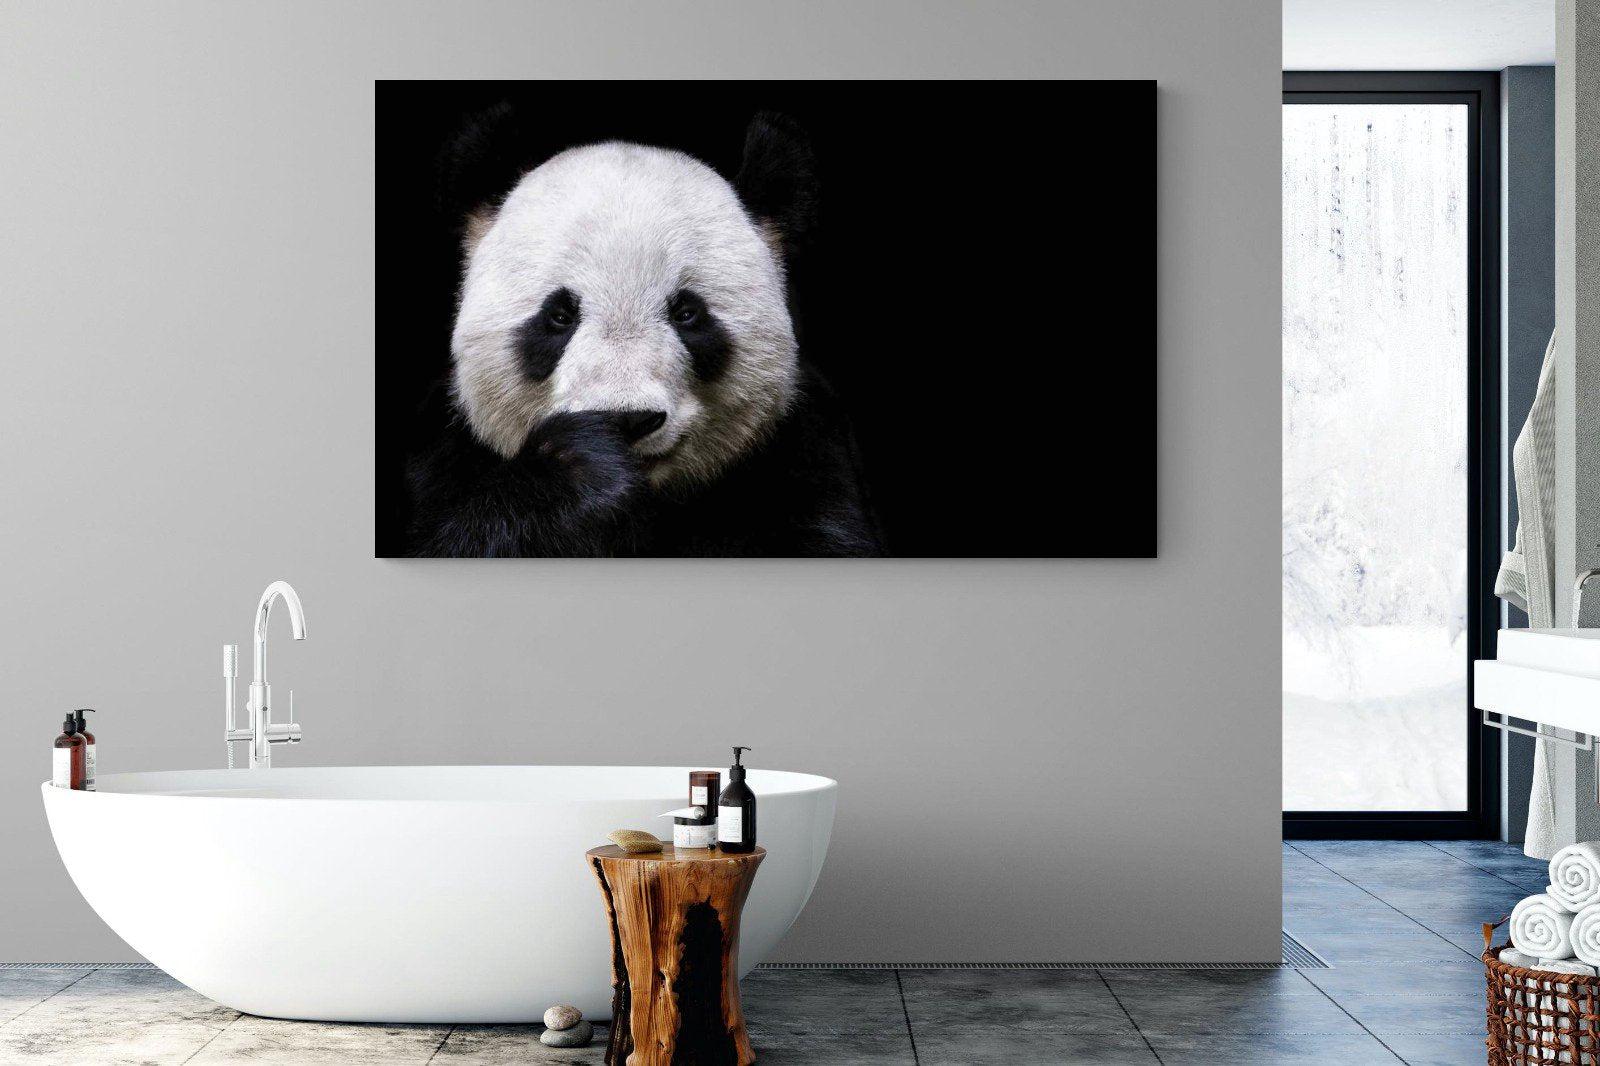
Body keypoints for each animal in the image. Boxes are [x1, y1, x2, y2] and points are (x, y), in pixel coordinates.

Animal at [404, 109, 883, 557]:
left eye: (687, 313)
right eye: (559, 316)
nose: (628, 419)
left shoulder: (803, 455)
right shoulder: (444, 455)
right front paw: (580, 468)